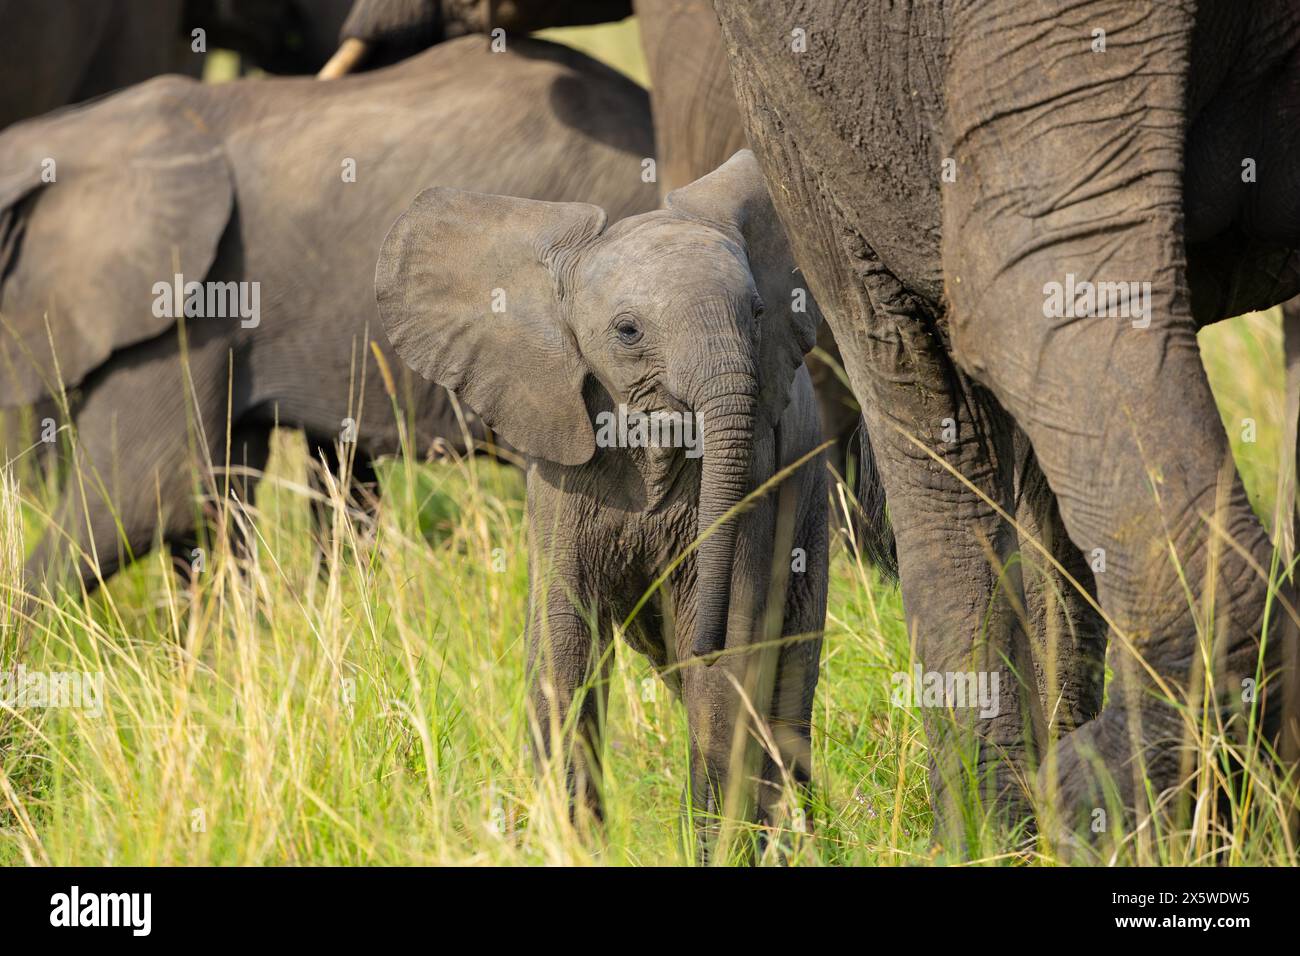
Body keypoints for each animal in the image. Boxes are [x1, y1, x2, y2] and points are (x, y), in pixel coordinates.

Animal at [377, 151, 826, 853]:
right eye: (628, 331)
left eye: (758, 313)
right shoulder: (561, 474)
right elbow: (564, 643)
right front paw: (570, 846)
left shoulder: (756, 472)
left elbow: (729, 669)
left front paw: (718, 851)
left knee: (786, 680)